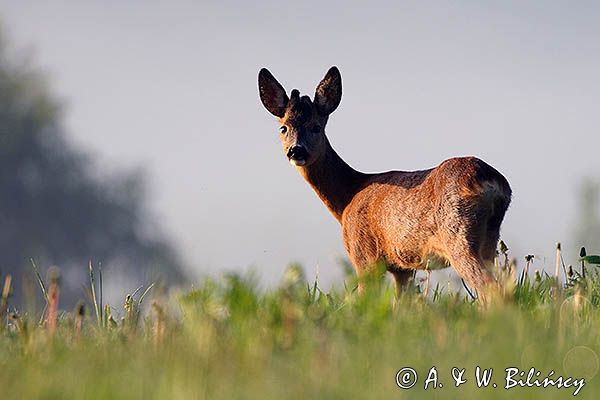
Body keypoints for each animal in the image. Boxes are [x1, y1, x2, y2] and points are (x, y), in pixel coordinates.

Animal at [256, 67, 510, 302]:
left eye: (316, 126)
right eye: (283, 128)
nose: (296, 150)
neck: (348, 196)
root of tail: (490, 179)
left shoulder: (364, 255)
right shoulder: (402, 267)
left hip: (458, 234)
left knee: (491, 288)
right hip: (489, 240)